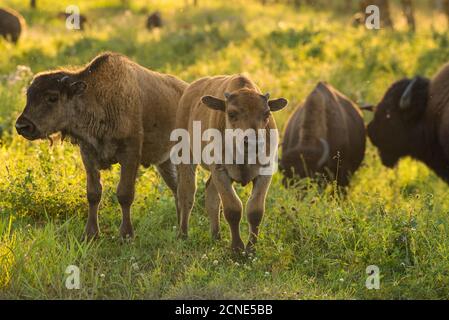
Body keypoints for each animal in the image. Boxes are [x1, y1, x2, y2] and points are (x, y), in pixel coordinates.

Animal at [15, 52, 187, 238]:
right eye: (28, 96)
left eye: (52, 98)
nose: (22, 126)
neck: (98, 97)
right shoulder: (88, 154)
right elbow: (93, 193)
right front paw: (90, 234)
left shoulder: (130, 154)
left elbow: (125, 194)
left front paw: (126, 235)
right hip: (165, 162)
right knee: (176, 189)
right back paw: (179, 229)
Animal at [175, 75, 288, 252]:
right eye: (231, 113)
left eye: (267, 113)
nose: (253, 142)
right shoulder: (220, 171)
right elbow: (233, 209)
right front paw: (237, 248)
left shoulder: (265, 172)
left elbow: (255, 211)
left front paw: (251, 249)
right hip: (185, 156)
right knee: (187, 193)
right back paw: (183, 235)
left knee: (211, 194)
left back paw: (216, 236)